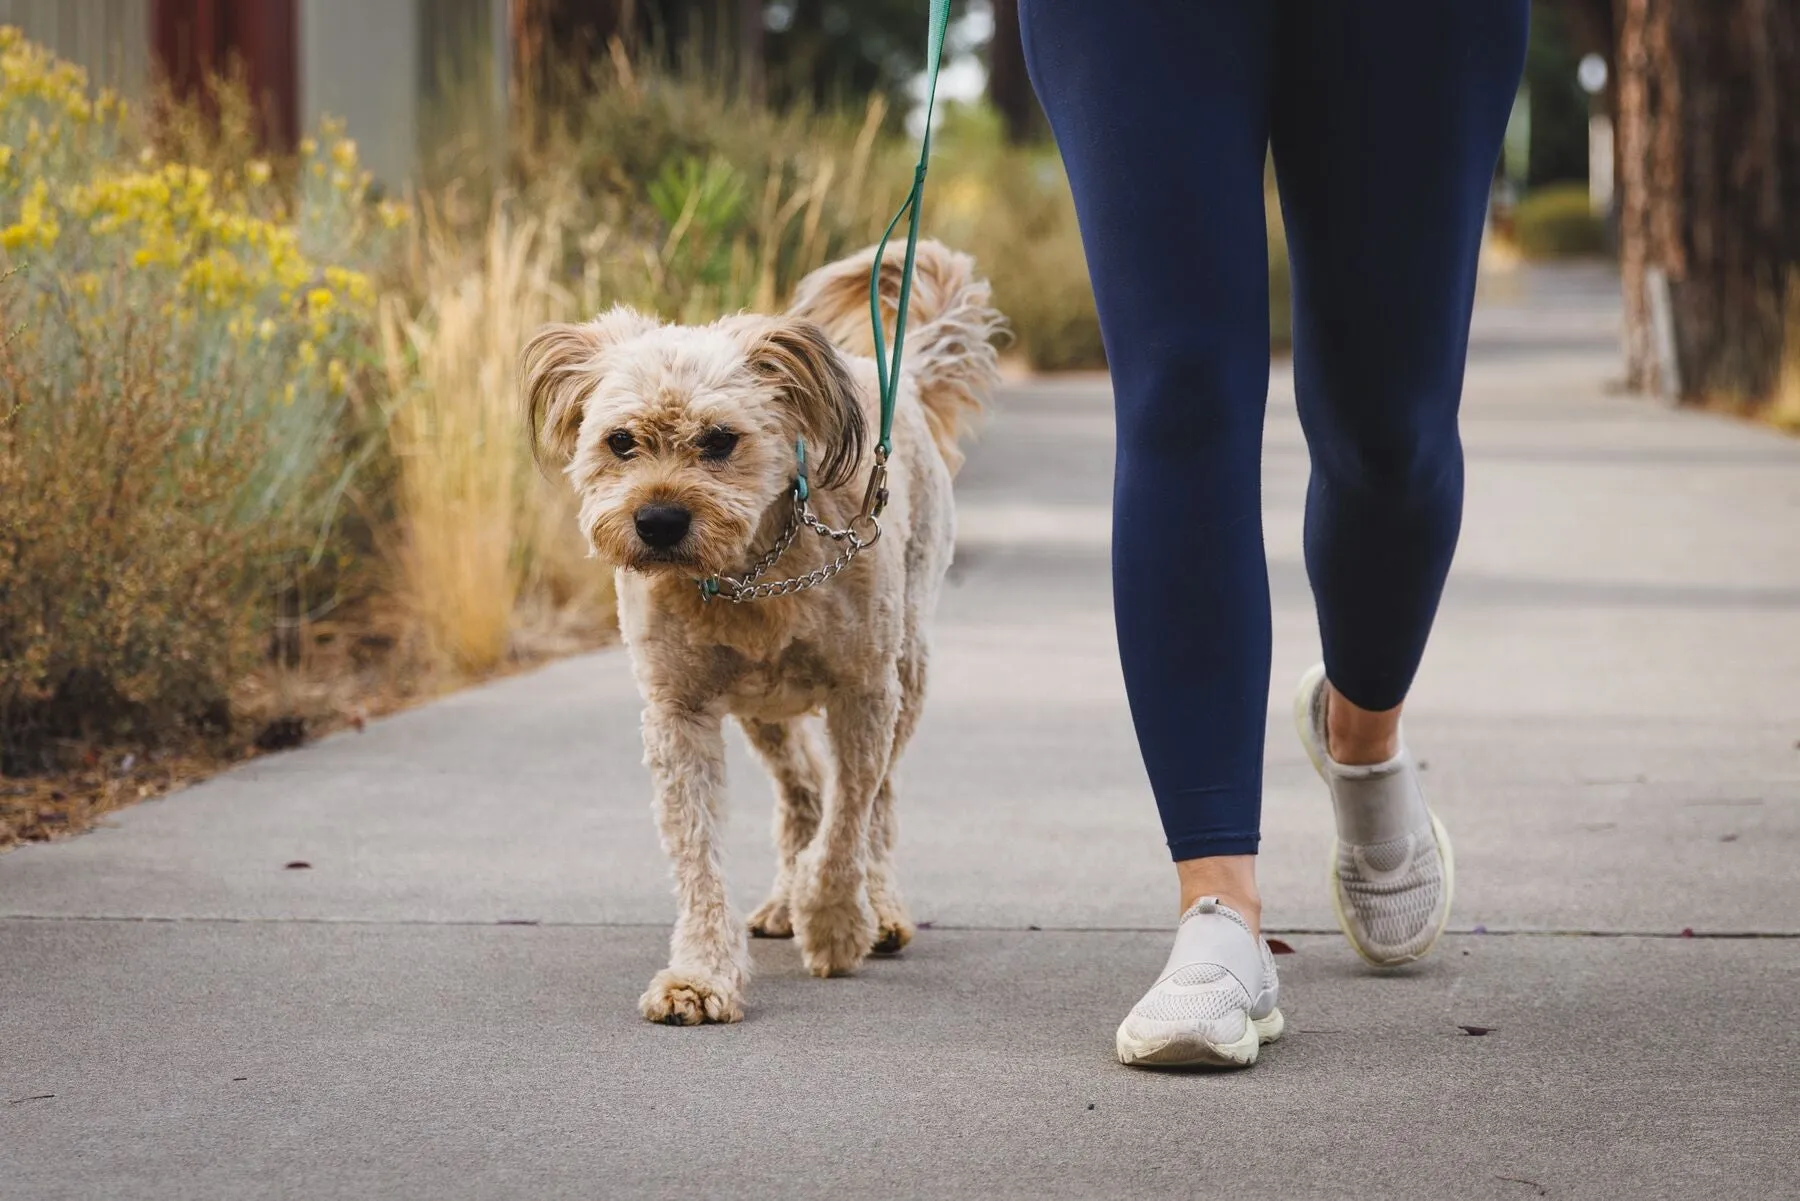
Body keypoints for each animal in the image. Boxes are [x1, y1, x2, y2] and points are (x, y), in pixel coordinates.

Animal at [522, 241, 1008, 1022]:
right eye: (619, 442)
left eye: (721, 440)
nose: (658, 521)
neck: (749, 573)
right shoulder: (678, 713)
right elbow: (699, 855)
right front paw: (700, 974)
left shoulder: (864, 695)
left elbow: (849, 819)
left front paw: (835, 923)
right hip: (762, 709)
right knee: (804, 788)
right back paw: (786, 899)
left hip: (908, 671)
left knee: (875, 803)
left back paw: (879, 907)